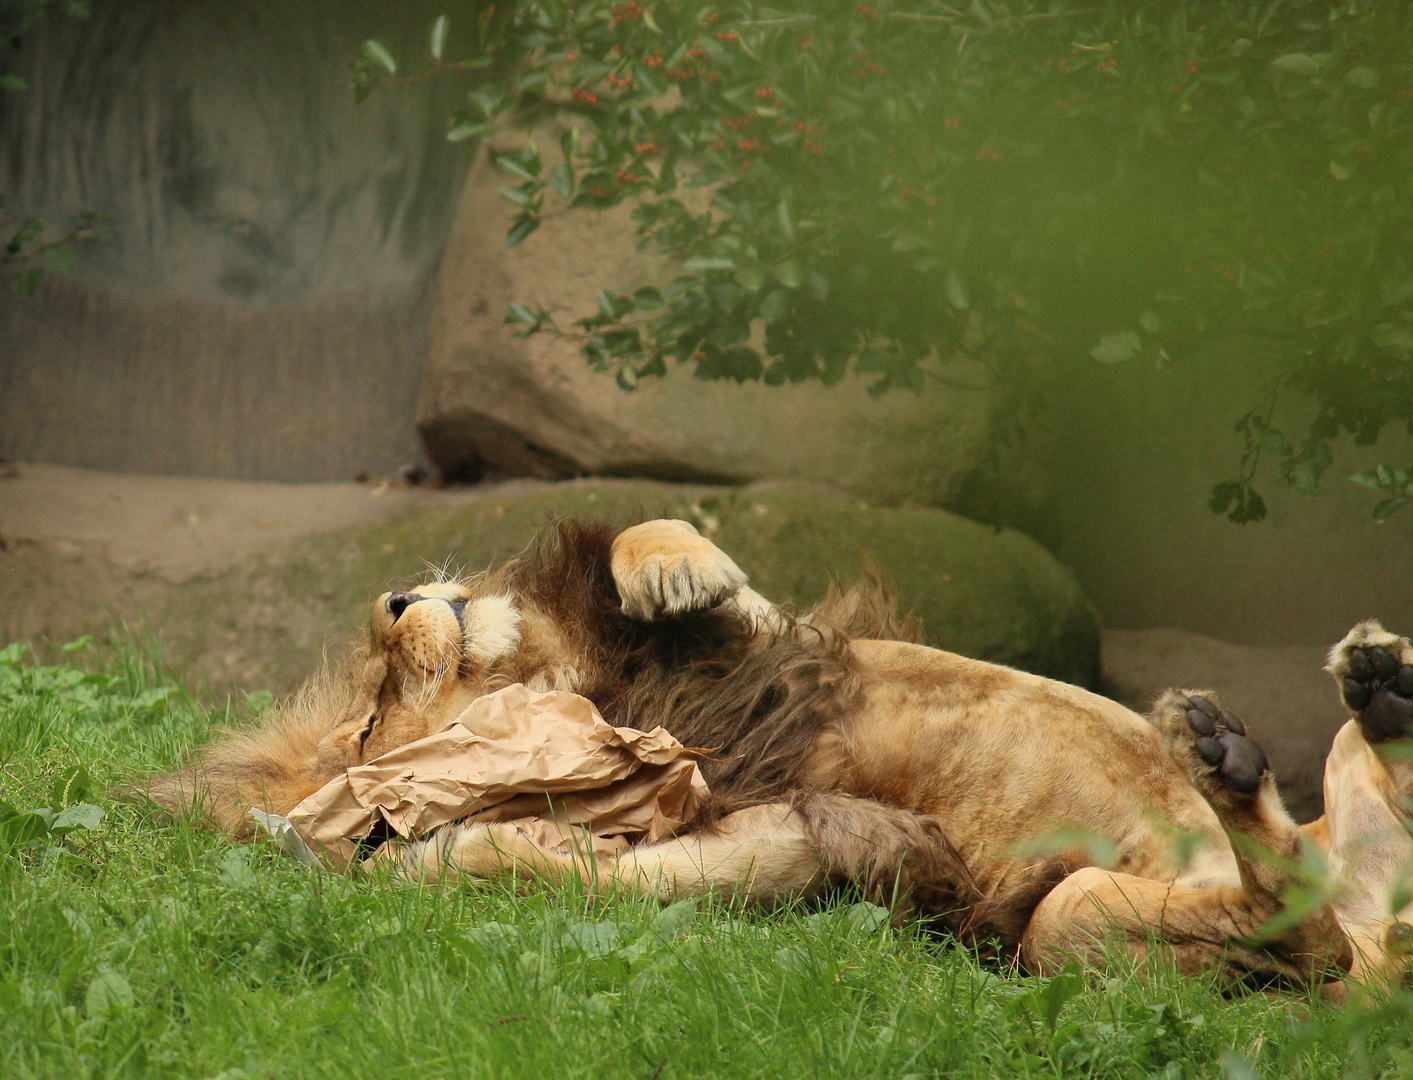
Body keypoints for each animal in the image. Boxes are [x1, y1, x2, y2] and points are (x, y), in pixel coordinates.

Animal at [151, 520, 1413, 989]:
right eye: (370, 722)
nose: (398, 596)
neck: (583, 688)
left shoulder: (769, 643)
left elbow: (659, 545)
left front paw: (669, 567)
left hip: (1344, 803)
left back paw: (1380, 678)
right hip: (1077, 927)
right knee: (1294, 939)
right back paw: (1225, 756)